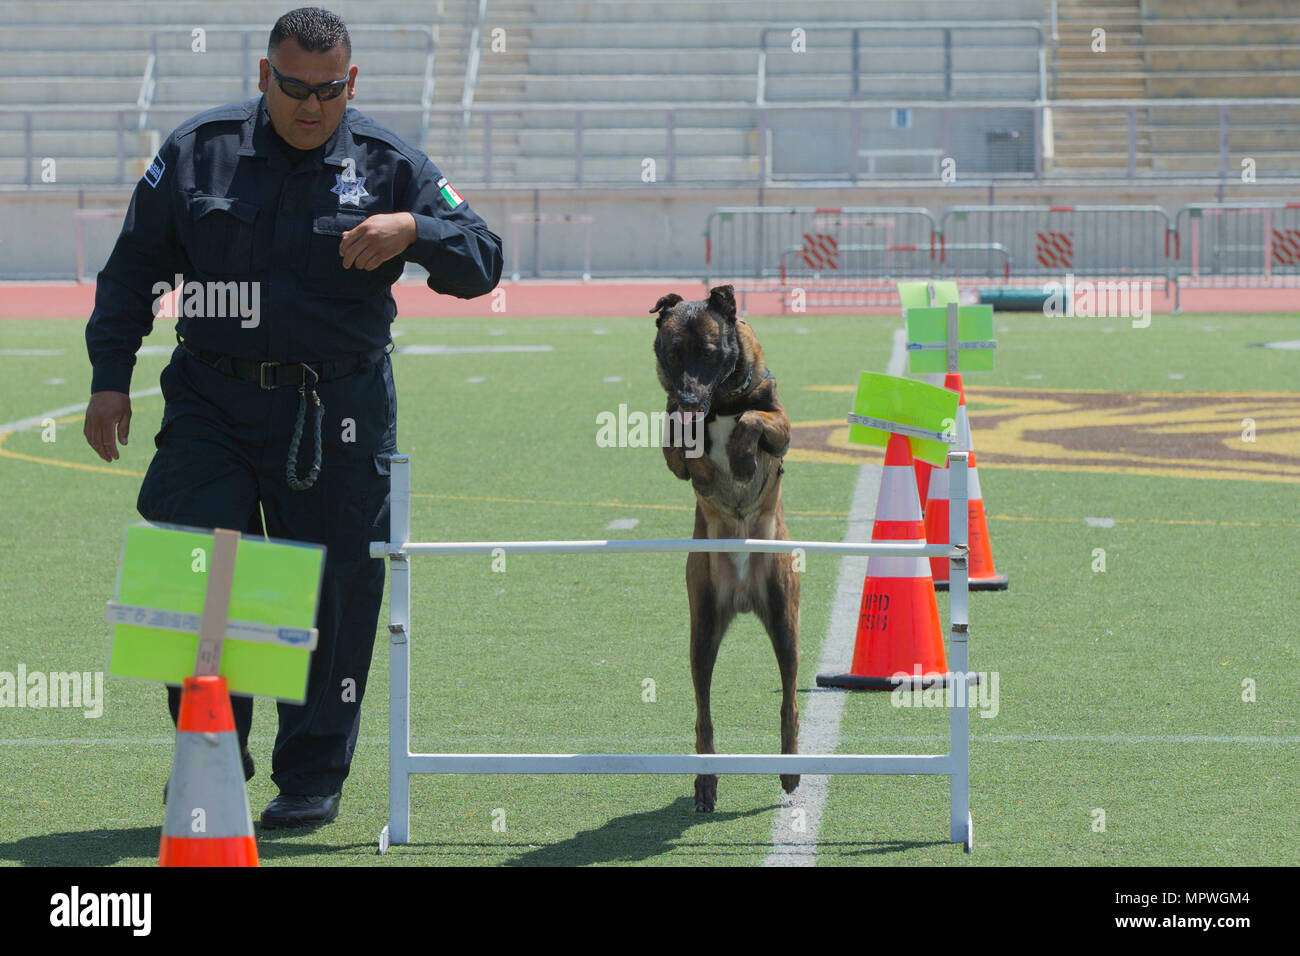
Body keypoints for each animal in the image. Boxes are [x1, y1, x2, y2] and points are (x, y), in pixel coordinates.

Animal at [650, 283, 800, 816]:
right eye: (674, 354)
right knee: (703, 713)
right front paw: (708, 464)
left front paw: (739, 456)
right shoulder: (670, 436)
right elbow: (682, 448)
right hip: (702, 632)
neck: (718, 403)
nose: (689, 398)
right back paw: (706, 781)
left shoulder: (781, 425)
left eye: (710, 354)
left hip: (784, 620)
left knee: (790, 700)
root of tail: (741, 593)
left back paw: (791, 769)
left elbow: (753, 419)